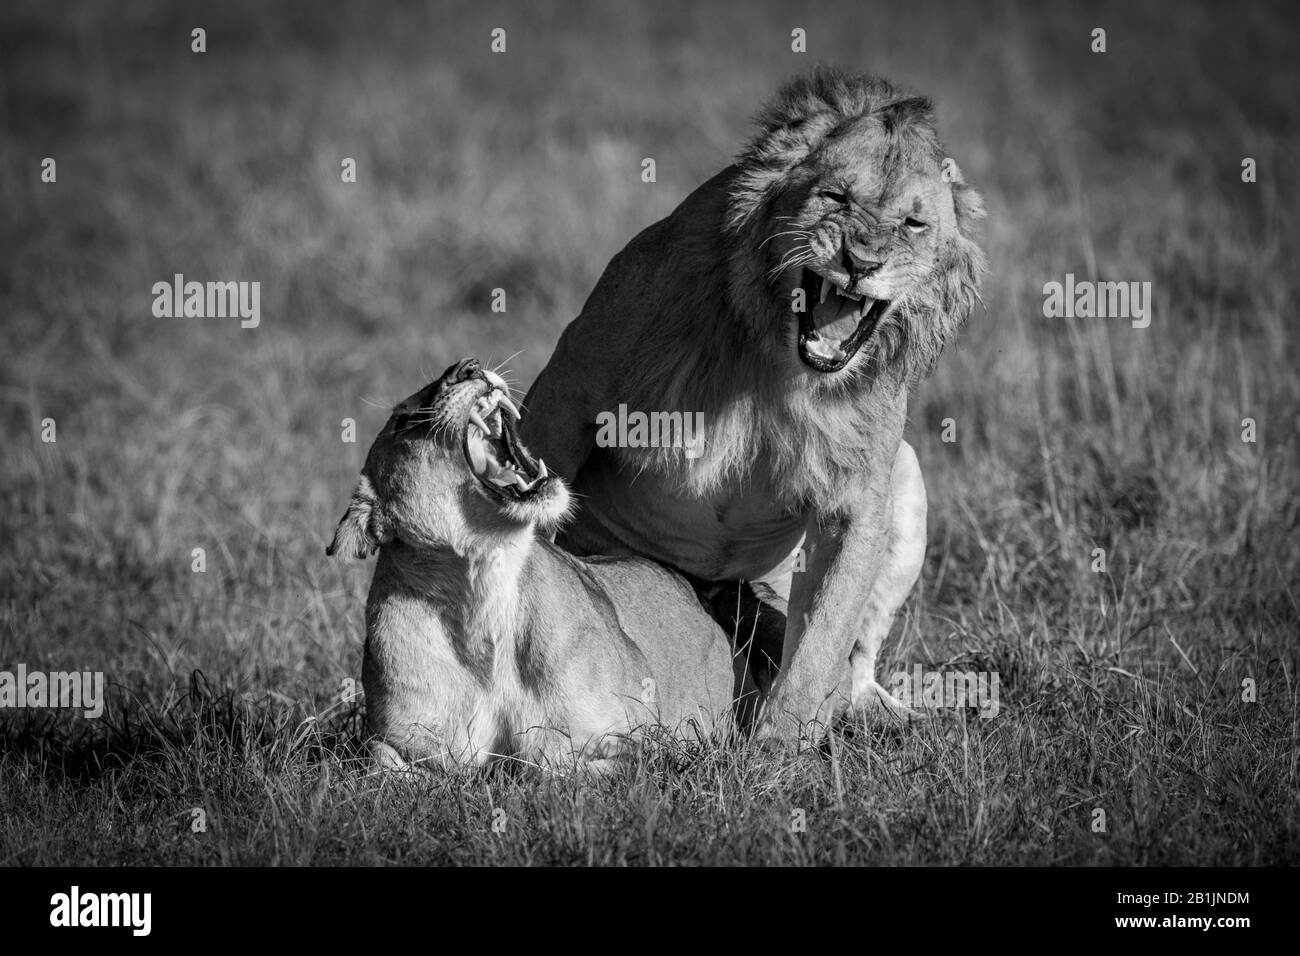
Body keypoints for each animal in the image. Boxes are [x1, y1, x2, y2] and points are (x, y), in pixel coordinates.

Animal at [325, 358, 738, 770]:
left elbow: (548, 760)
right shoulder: (396, 741)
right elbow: (383, 758)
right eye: (404, 421)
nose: (467, 367)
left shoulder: (640, 739)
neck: (481, 586)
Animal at [517, 70, 982, 749]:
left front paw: (779, 749)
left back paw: (886, 715)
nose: (862, 262)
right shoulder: (569, 391)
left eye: (915, 223)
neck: (781, 362)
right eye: (835, 197)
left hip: (908, 475)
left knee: (855, 659)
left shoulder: (855, 496)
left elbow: (824, 638)